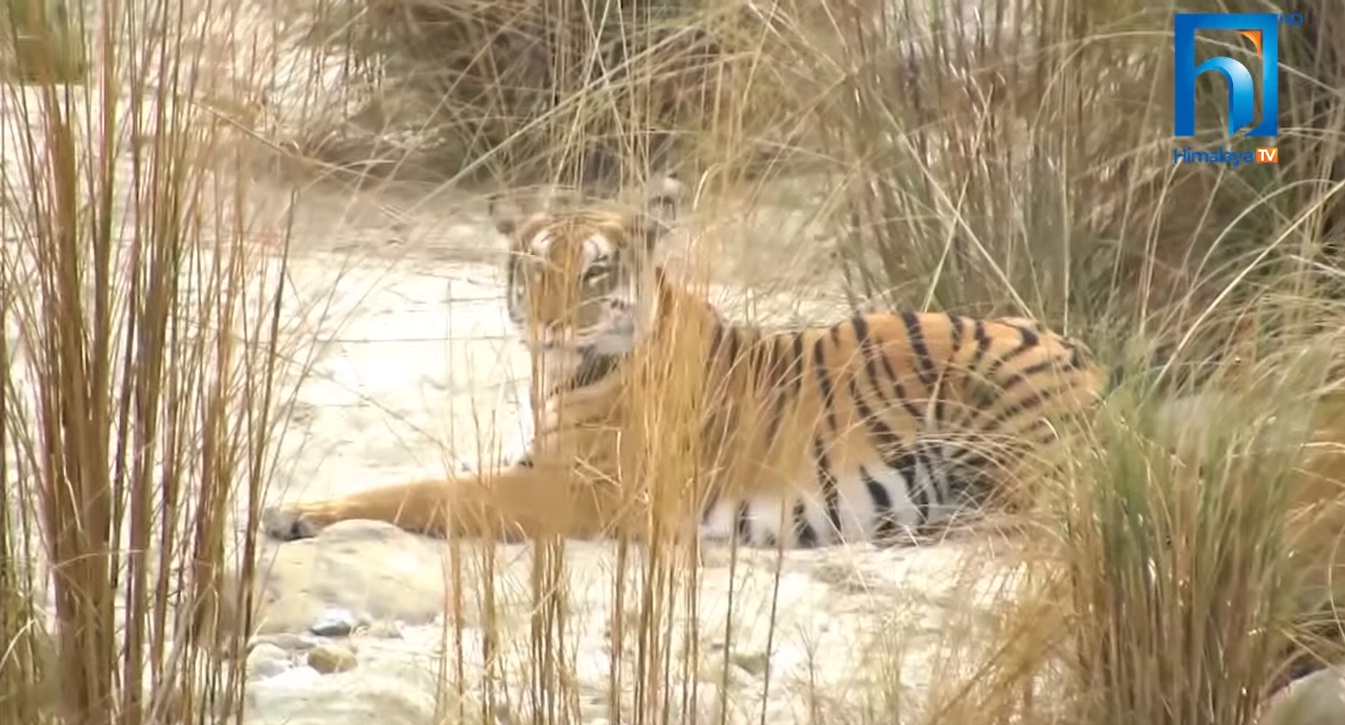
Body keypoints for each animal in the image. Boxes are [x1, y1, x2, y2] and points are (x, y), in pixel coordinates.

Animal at [262, 176, 1113, 551]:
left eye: (595, 272)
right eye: (534, 268)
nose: (547, 326)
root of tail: (1082, 355)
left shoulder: (581, 490)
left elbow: (423, 490)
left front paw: (296, 510)